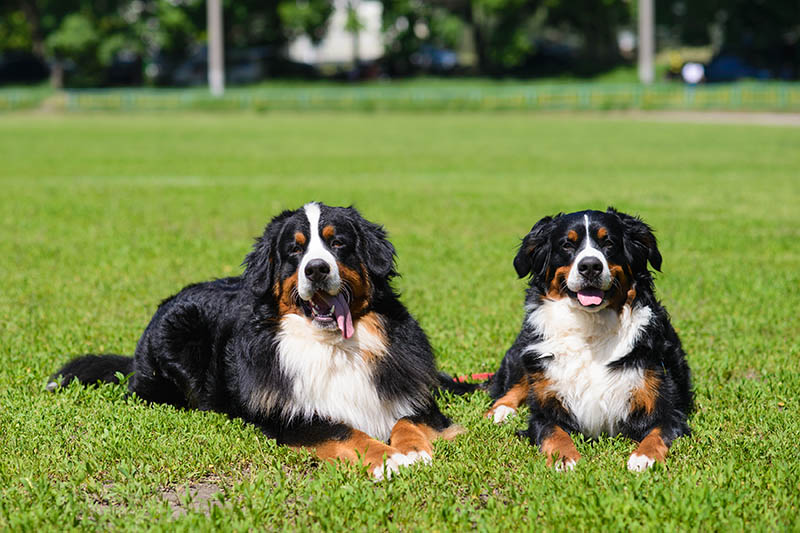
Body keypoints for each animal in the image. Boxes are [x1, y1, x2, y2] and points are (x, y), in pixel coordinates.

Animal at [50, 202, 466, 480]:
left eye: (339, 244)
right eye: (295, 249)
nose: (317, 269)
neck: (333, 347)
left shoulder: (412, 395)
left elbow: (407, 420)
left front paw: (413, 449)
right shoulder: (291, 416)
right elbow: (345, 430)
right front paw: (388, 458)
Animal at [484, 208, 692, 470]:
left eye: (608, 243)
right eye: (567, 245)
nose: (590, 266)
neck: (590, 330)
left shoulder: (666, 406)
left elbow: (659, 431)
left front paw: (644, 457)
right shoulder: (545, 410)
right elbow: (554, 432)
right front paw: (565, 458)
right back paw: (500, 411)